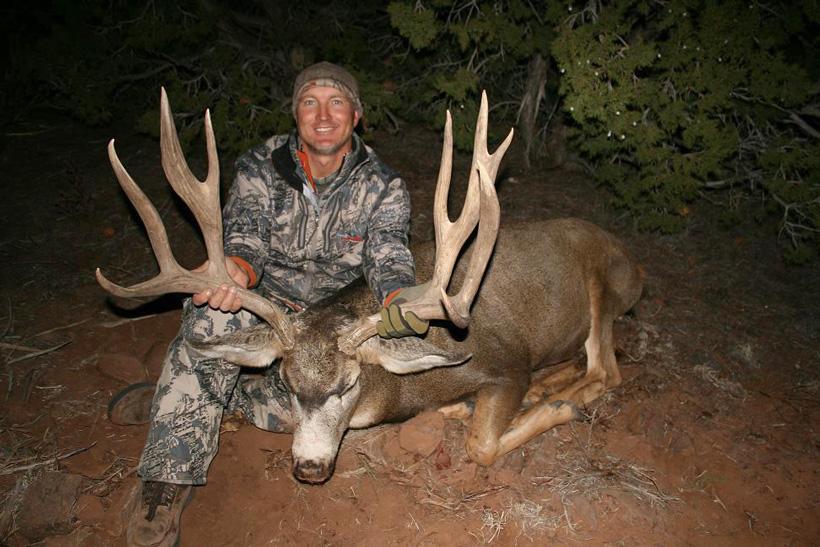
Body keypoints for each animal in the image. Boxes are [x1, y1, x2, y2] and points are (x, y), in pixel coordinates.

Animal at [97, 89, 643, 484]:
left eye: (348, 385)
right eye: (287, 384)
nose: (308, 468)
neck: (405, 388)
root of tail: (634, 264)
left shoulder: (508, 364)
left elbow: (480, 444)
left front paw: (552, 409)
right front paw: (469, 406)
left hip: (604, 287)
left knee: (605, 367)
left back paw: (561, 396)